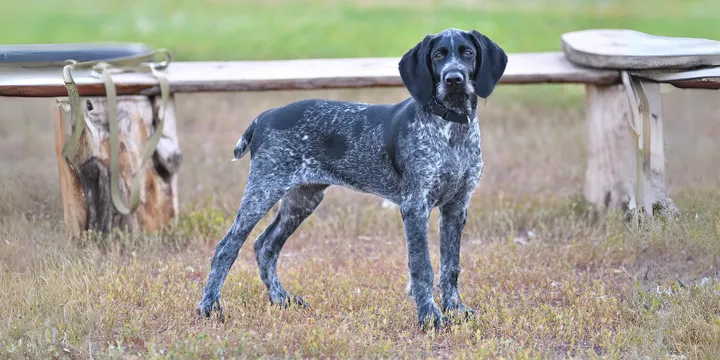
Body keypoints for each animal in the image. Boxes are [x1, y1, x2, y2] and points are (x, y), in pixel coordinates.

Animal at [195, 28, 506, 330]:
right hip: (263, 190)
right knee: (227, 247)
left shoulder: (456, 206)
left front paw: (456, 310)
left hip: (302, 199)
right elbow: (423, 268)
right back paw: (209, 307)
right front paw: (430, 318)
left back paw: (281, 299)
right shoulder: (415, 206)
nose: (454, 79)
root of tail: (265, 116)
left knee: (265, 245)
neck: (451, 127)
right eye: (439, 55)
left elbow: (451, 266)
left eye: (467, 53)